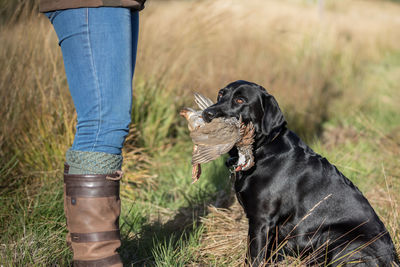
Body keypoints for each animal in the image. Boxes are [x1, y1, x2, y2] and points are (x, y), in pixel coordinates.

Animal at [205, 80, 398, 267]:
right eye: (221, 94)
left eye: (240, 100)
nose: (207, 114)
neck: (263, 149)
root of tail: (391, 258)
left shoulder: (262, 220)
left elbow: (253, 257)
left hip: (336, 236)